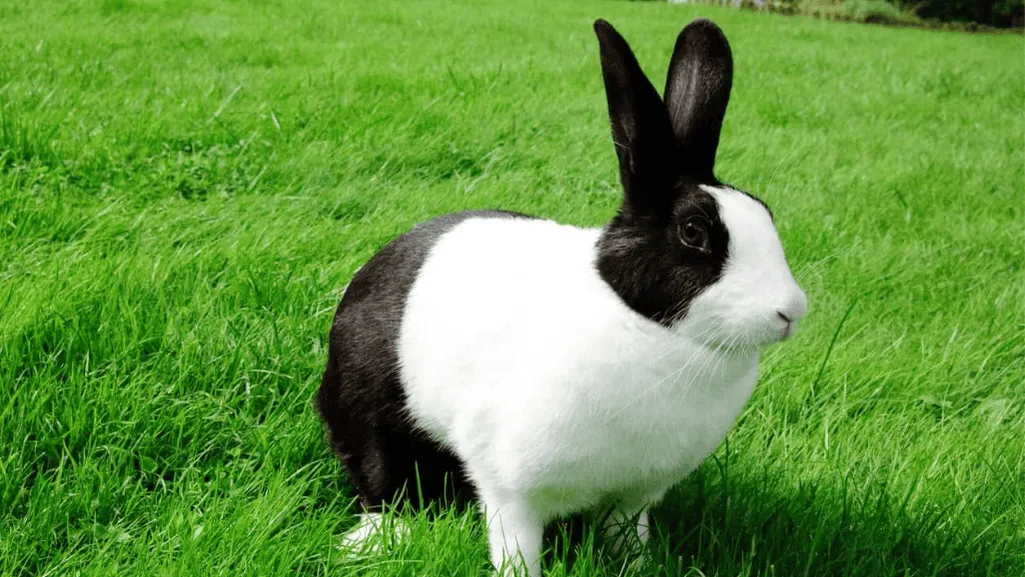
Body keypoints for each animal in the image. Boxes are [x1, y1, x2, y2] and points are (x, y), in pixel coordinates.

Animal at [316, 17, 808, 577]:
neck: (650, 329)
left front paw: (638, 567)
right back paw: (374, 542)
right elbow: (516, 546)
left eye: (765, 213)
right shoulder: (511, 491)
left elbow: (627, 534)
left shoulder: (634, 495)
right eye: (693, 232)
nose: (791, 311)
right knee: (383, 481)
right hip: (375, 416)